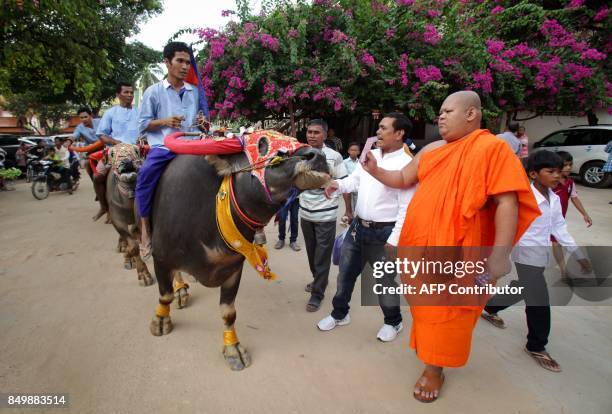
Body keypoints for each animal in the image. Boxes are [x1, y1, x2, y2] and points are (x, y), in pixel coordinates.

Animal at [149, 132, 330, 368]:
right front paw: (160, 321)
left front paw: (232, 348)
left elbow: (229, 313)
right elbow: (165, 295)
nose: (318, 156)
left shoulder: (233, 268)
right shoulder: (160, 257)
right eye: (262, 144)